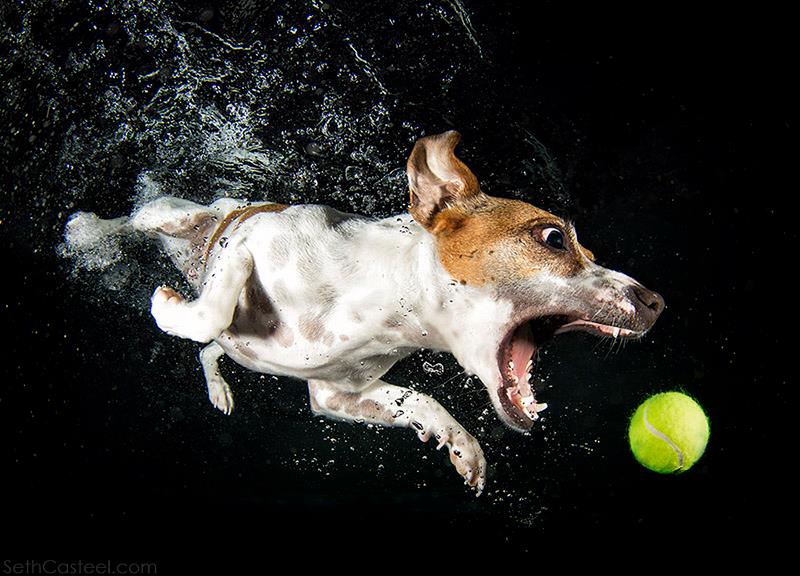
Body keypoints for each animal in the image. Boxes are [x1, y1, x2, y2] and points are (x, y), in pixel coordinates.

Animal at [64, 132, 664, 496]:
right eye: (554, 238)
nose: (657, 303)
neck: (384, 311)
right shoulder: (251, 241)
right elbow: (212, 308)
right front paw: (167, 308)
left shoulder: (336, 395)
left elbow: (416, 399)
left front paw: (461, 446)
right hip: (176, 217)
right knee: (136, 221)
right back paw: (87, 232)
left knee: (213, 352)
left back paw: (219, 389)